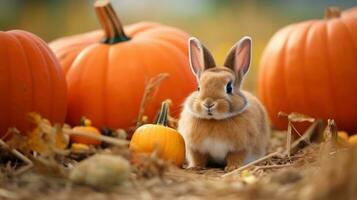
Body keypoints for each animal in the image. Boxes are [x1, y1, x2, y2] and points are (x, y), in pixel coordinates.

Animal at [178, 36, 270, 172]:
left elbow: (235, 157)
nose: (208, 104)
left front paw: (232, 168)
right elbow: (198, 158)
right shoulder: (196, 148)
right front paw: (195, 167)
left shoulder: (240, 148)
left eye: (229, 88)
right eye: (198, 88)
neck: (215, 121)